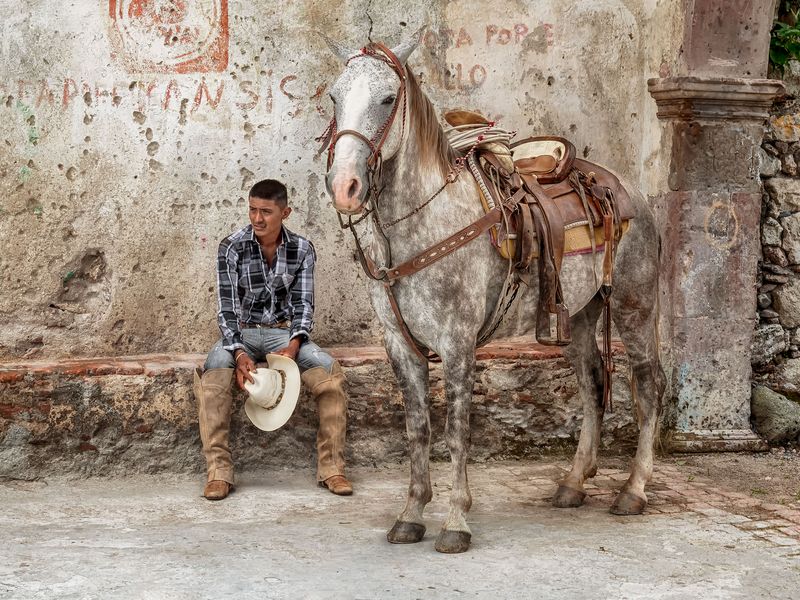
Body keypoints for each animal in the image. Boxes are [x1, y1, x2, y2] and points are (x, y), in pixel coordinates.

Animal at [318, 30, 664, 552]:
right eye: (335, 97)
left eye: (388, 98)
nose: (345, 187)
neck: (423, 222)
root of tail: (629, 190)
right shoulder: (400, 345)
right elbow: (417, 430)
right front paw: (412, 514)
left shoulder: (458, 342)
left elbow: (456, 431)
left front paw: (456, 521)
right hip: (577, 315)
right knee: (592, 383)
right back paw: (573, 483)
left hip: (634, 306)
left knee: (646, 385)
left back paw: (634, 489)